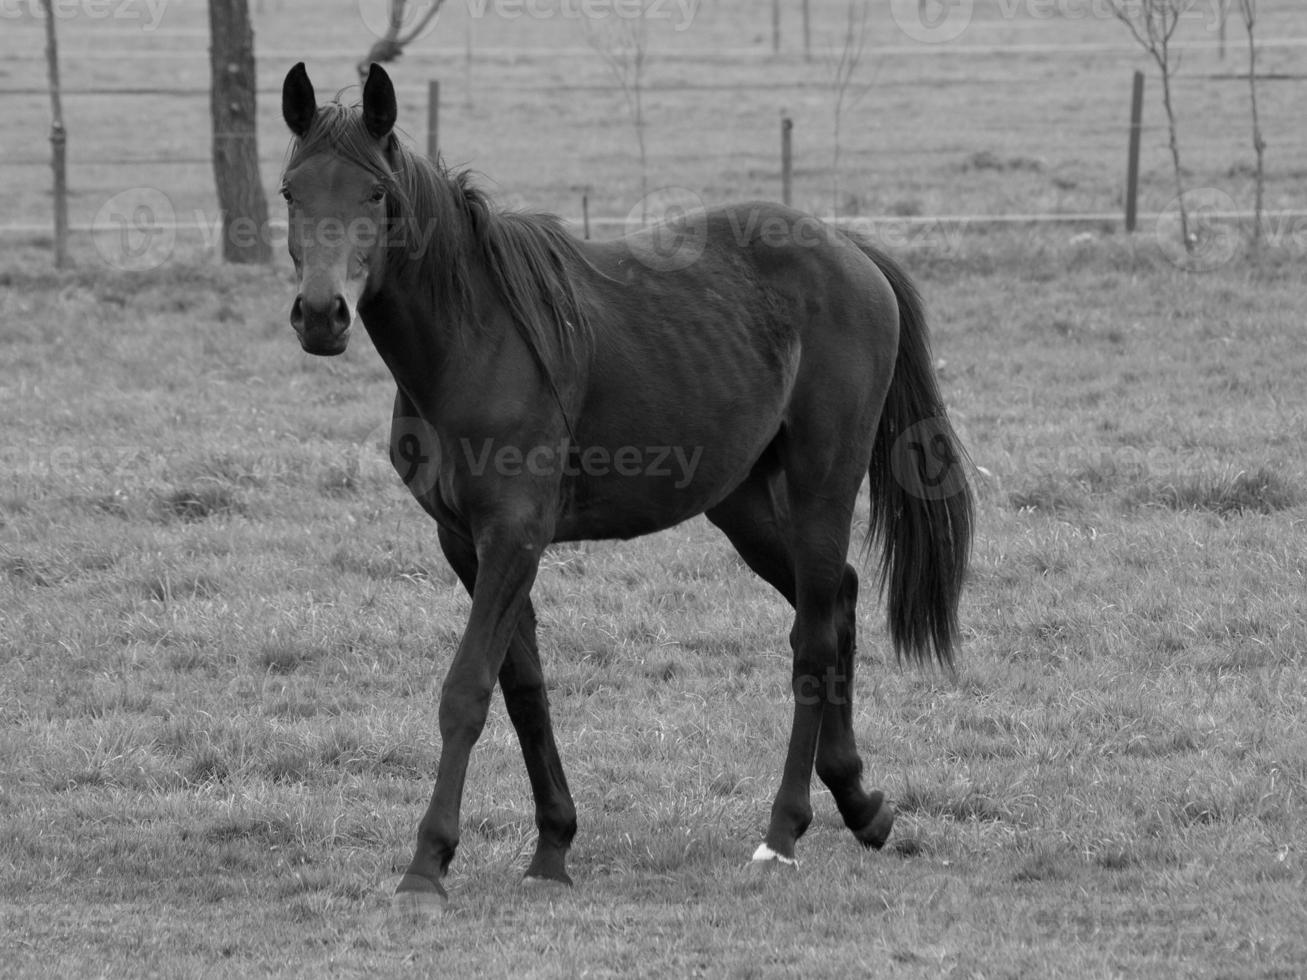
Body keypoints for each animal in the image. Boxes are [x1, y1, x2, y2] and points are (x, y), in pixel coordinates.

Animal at [278, 63, 972, 919]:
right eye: (290, 191)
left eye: (375, 193)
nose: (320, 314)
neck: (478, 340)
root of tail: (852, 251)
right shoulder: (466, 543)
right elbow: (523, 687)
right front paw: (552, 846)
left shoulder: (514, 535)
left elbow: (466, 690)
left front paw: (427, 861)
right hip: (740, 505)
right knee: (835, 599)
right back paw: (859, 804)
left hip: (821, 484)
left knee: (812, 636)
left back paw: (782, 831)